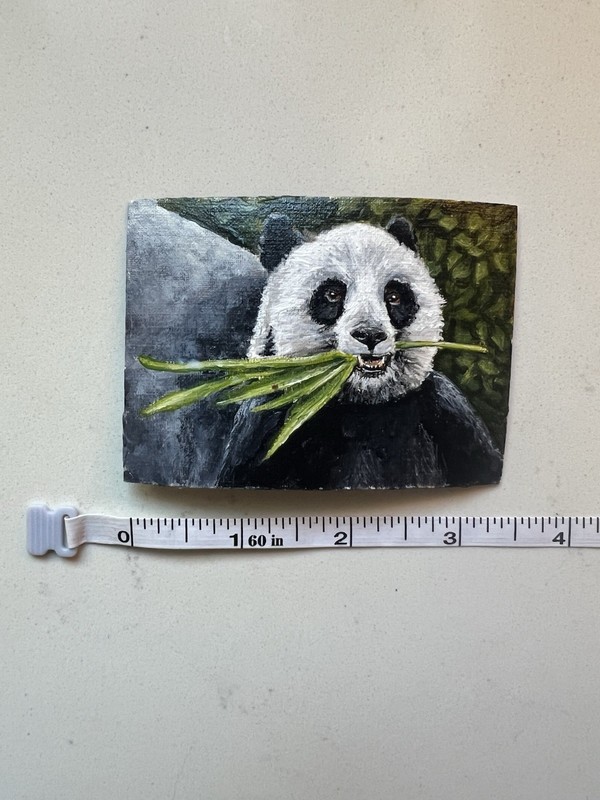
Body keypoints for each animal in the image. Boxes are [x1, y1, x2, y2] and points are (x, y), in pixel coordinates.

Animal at [217, 214, 503, 489]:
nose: (370, 335)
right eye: (332, 294)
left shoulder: (446, 410)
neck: (363, 402)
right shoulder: (269, 424)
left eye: (394, 296)